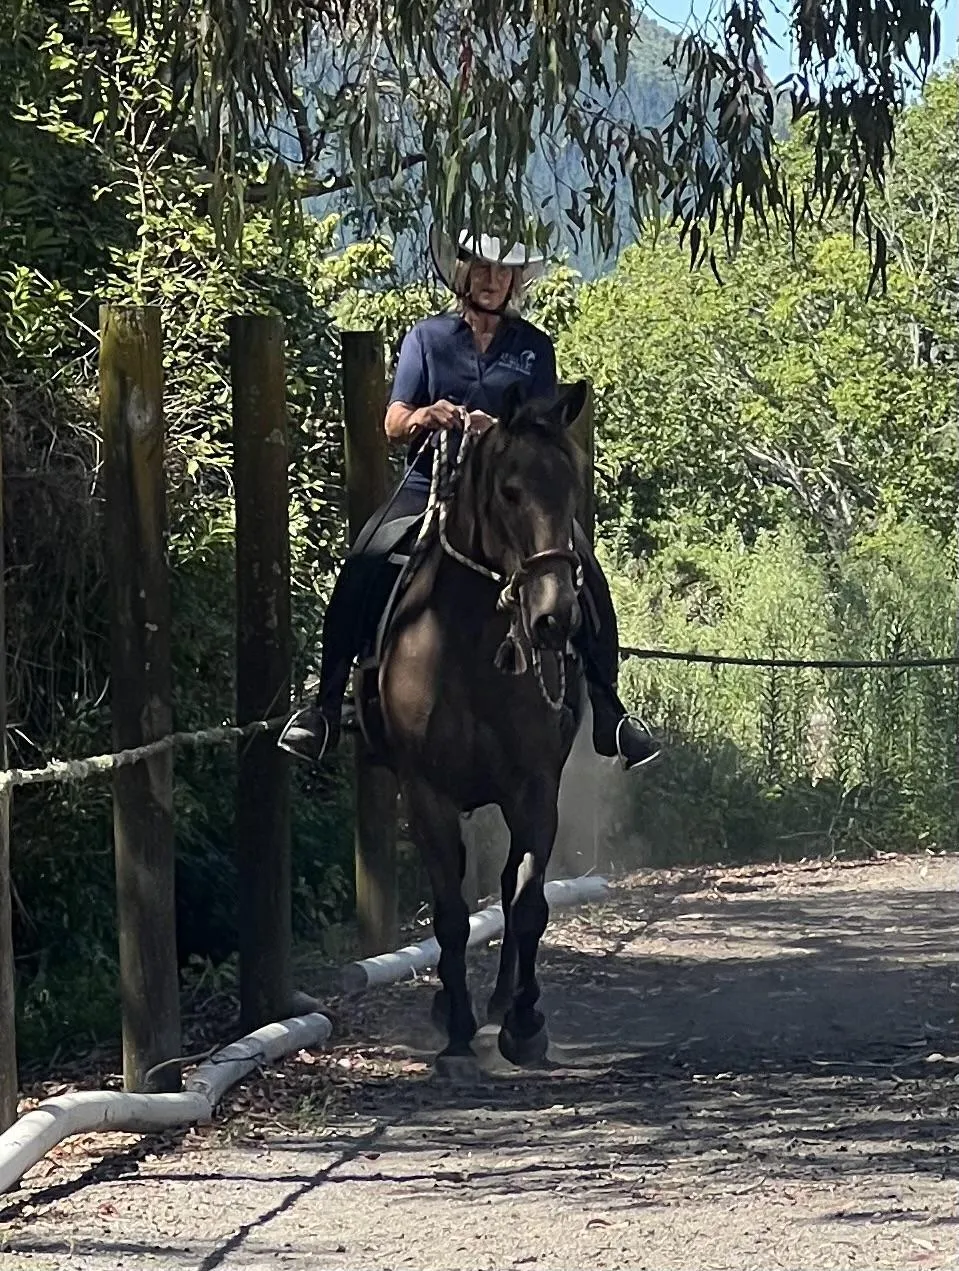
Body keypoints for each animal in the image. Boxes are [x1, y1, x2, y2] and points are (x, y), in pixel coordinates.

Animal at [360, 379, 590, 1075]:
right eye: (510, 491)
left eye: (573, 487)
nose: (553, 619)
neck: (460, 643)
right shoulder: (425, 795)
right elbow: (452, 915)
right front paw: (458, 1034)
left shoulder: (536, 788)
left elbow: (528, 904)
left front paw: (524, 1021)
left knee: (512, 889)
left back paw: (504, 1002)